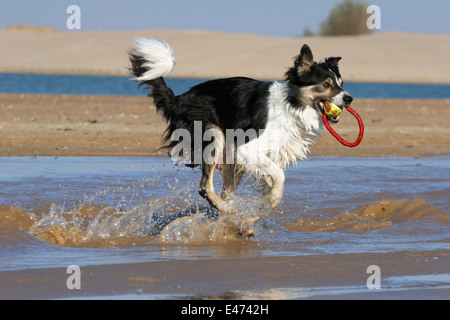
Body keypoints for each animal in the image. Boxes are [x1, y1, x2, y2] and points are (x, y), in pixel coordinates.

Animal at [128, 38, 354, 218]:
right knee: (205, 188)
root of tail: (178, 99)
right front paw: (273, 199)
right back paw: (228, 211)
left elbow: (271, 176)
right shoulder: (247, 147)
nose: (349, 98)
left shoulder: (266, 153)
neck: (291, 105)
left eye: (341, 84)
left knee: (224, 191)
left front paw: (264, 204)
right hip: (214, 135)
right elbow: (279, 175)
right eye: (326, 84)